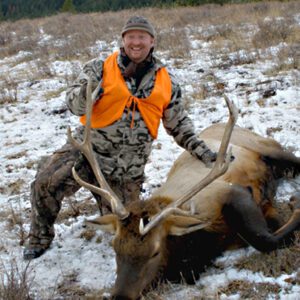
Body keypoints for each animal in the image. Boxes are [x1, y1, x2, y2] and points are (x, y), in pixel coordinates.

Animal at [67, 79, 300, 300]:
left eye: (155, 252)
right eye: (116, 248)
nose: (121, 296)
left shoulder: (232, 192)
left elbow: (266, 239)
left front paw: (295, 204)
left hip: (269, 147)